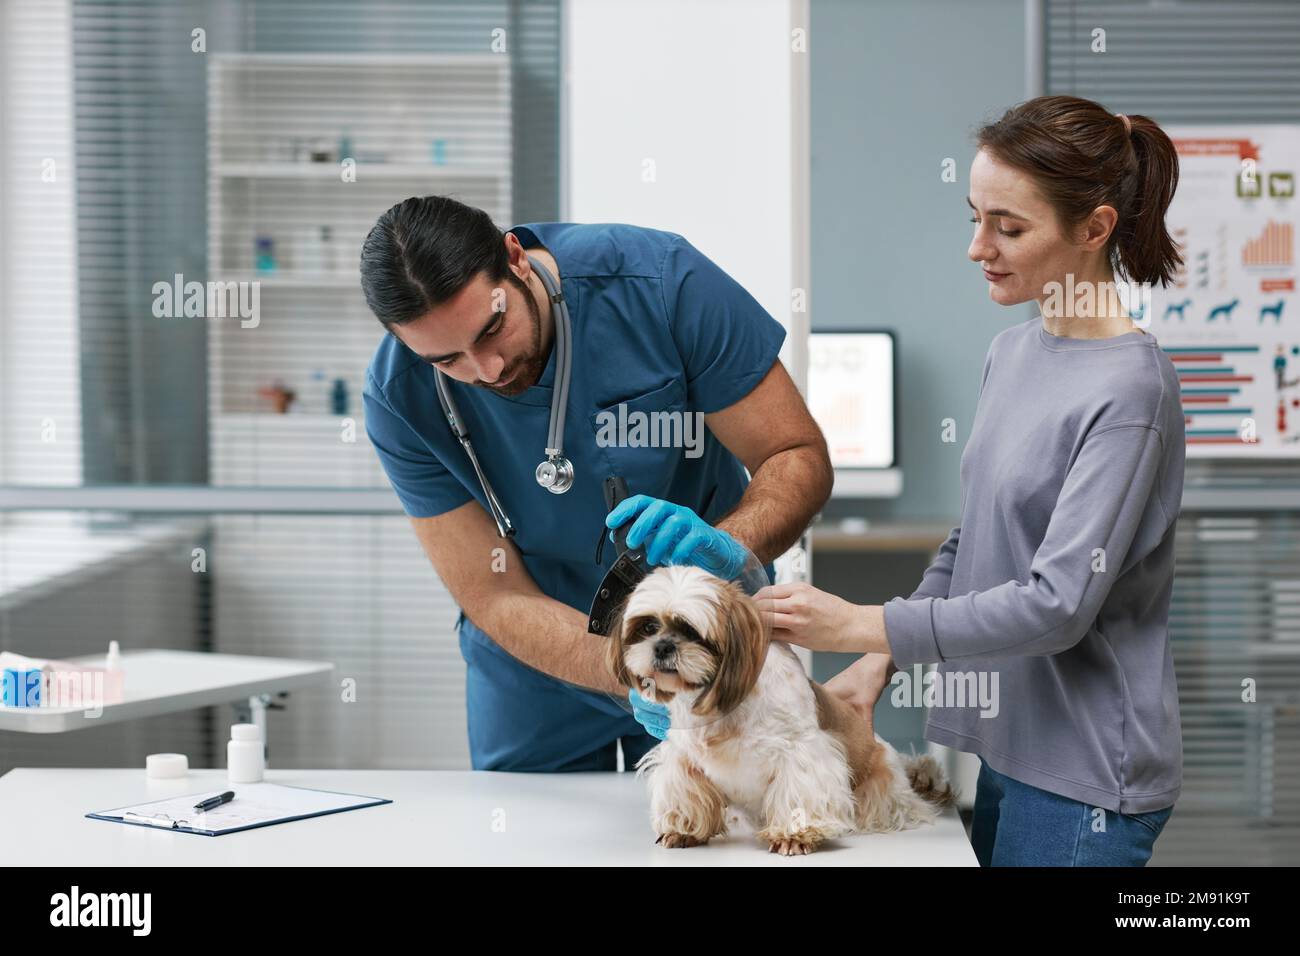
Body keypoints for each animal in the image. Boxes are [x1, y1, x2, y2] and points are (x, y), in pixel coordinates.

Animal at [605, 564, 956, 858]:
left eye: (691, 631)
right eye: (648, 627)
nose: (663, 646)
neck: (724, 708)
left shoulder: (802, 754)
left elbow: (798, 795)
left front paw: (794, 836)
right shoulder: (683, 760)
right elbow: (687, 793)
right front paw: (683, 830)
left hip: (881, 791)